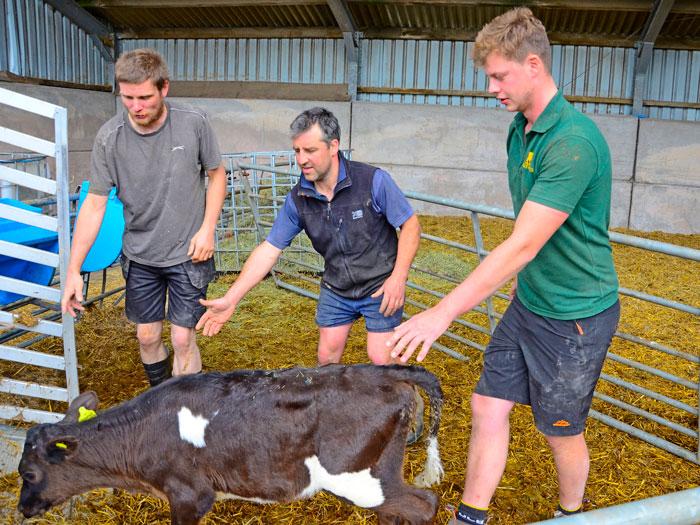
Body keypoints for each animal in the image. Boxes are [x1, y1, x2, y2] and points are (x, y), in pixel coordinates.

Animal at [19, 364, 446, 524]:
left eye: (28, 473)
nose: (23, 509)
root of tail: (384, 372)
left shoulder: (189, 493)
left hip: (357, 477)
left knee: (425, 503)